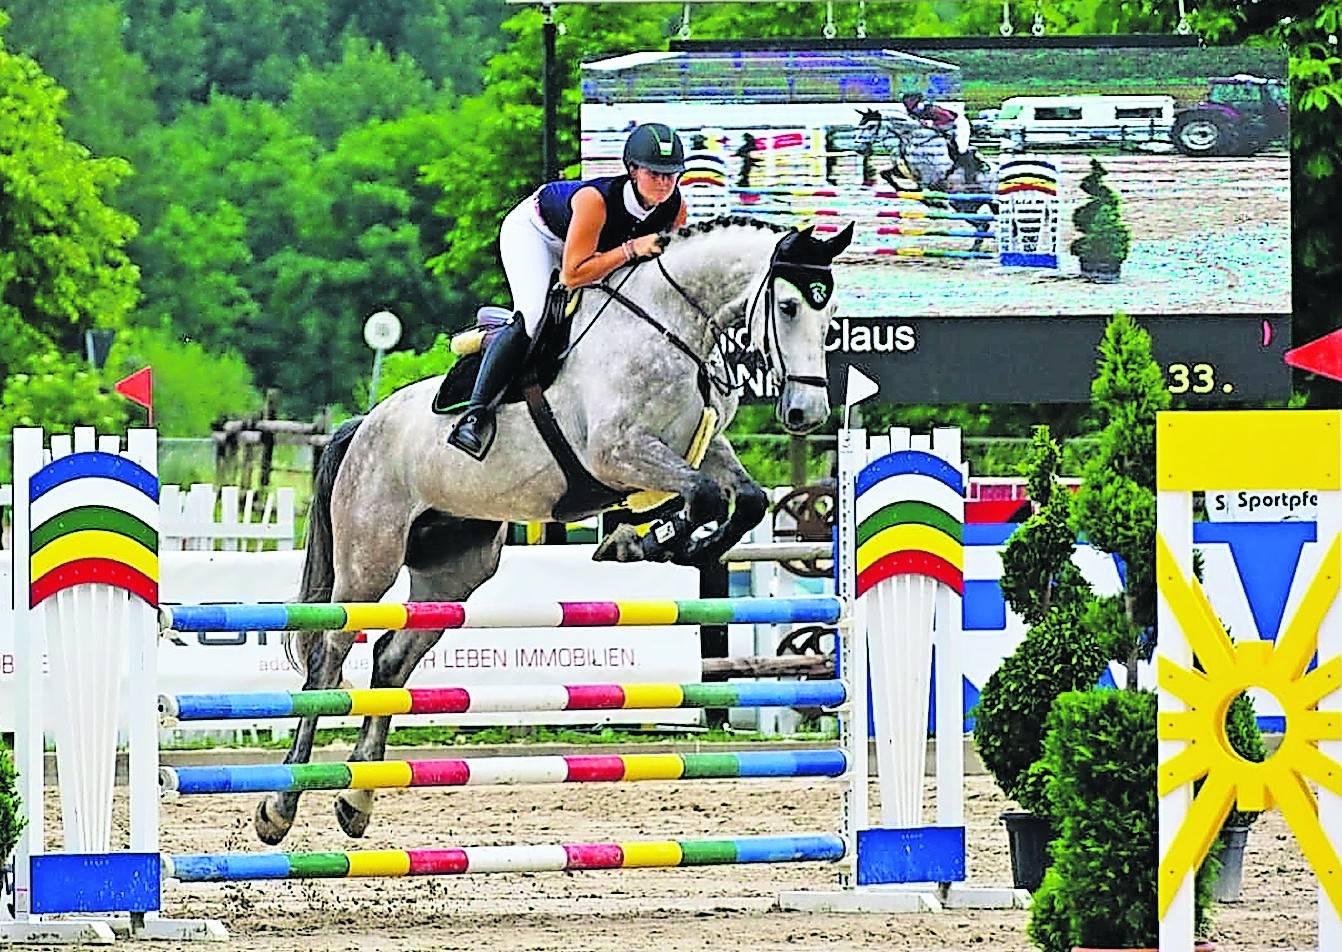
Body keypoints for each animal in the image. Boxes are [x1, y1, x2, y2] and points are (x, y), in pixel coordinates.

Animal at [252, 213, 853, 837]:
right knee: (329, 654)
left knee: (393, 659)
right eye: (788, 306)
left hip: (455, 568)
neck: (671, 325)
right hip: (369, 558)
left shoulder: (700, 448)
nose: (807, 414)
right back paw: (279, 808)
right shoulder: (616, 454)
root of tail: (362, 426)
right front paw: (646, 539)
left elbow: (747, 500)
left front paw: (654, 542)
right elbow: (706, 497)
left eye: (831, 313)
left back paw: (357, 799)